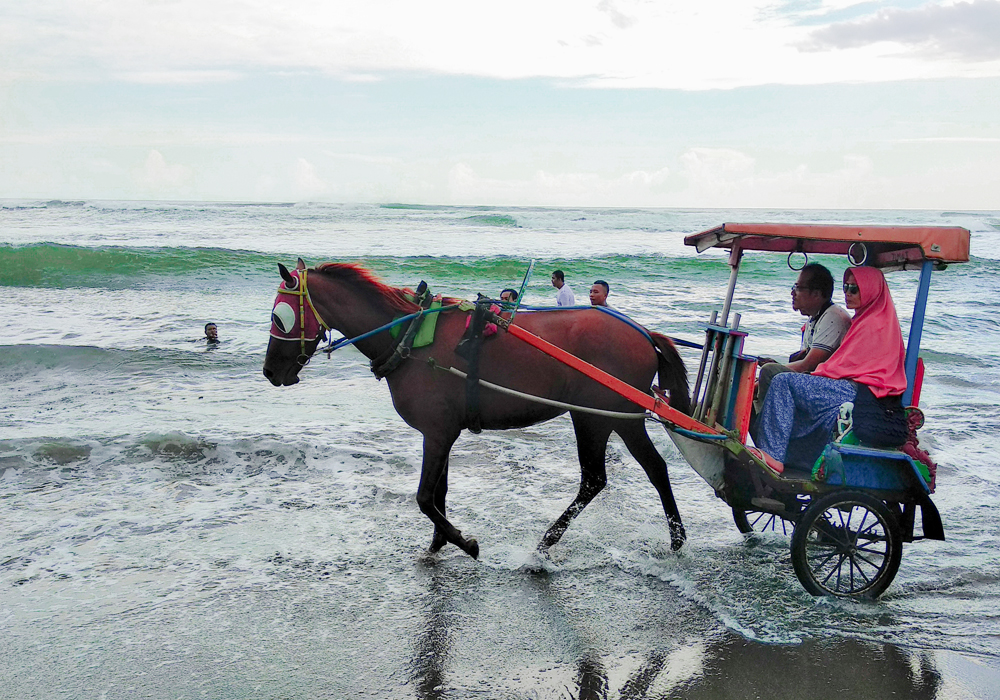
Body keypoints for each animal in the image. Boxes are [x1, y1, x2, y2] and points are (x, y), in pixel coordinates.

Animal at [262, 260, 692, 560]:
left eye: (278, 317)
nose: (269, 371)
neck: (409, 336)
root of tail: (643, 332)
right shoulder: (442, 432)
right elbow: (439, 492)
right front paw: (438, 543)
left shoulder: (436, 432)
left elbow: (425, 497)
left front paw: (464, 542)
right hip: (618, 419)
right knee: (654, 469)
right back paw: (675, 539)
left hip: (594, 417)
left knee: (595, 480)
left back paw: (546, 544)